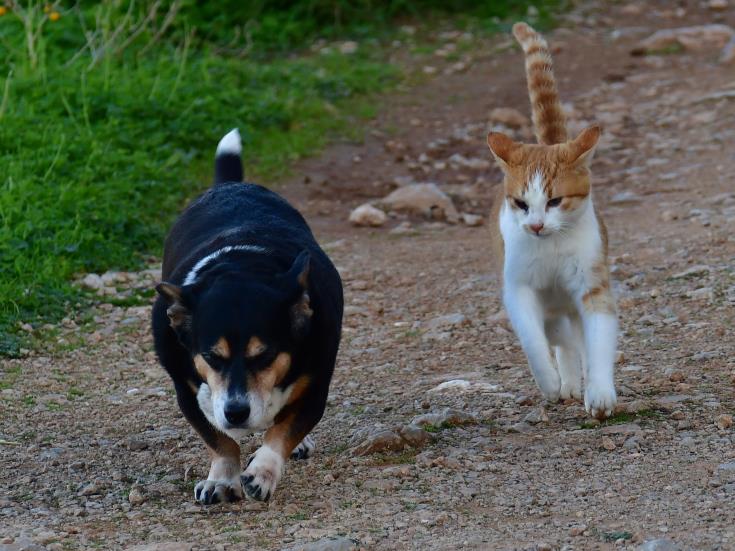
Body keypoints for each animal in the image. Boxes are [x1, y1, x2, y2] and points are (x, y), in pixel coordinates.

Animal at [152, 130, 344, 504]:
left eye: (264, 354)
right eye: (212, 356)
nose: (236, 412)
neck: (241, 266)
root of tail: (231, 185)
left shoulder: (316, 385)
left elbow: (284, 430)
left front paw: (261, 473)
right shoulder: (186, 391)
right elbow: (219, 438)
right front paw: (222, 480)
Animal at [492, 21, 620, 418]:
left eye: (555, 201)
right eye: (521, 203)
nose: (535, 225)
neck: (551, 249)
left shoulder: (593, 287)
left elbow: (598, 343)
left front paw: (600, 392)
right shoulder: (518, 288)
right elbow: (533, 342)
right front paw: (549, 383)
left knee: (573, 339)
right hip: (550, 309)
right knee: (560, 338)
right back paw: (565, 382)